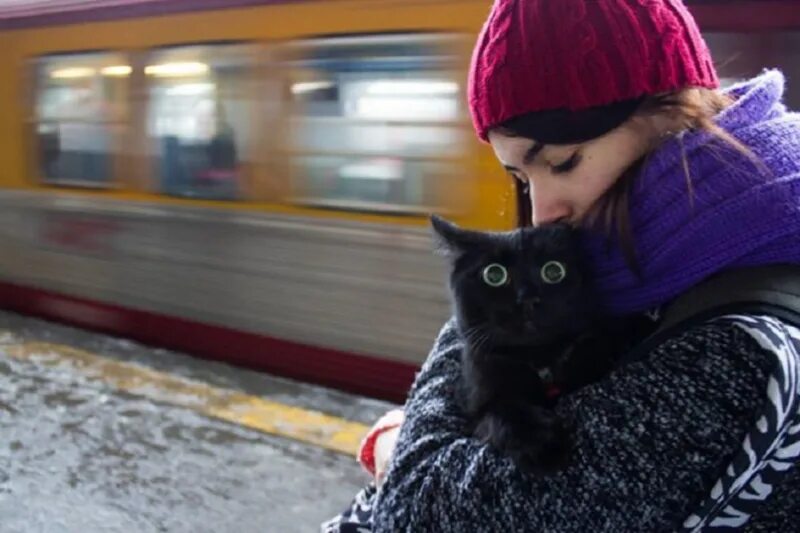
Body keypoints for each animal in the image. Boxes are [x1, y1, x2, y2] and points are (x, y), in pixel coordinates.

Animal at [432, 214, 636, 472]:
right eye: (494, 275)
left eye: (554, 270)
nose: (527, 299)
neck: (539, 361)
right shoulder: (473, 400)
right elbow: (499, 411)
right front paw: (541, 444)